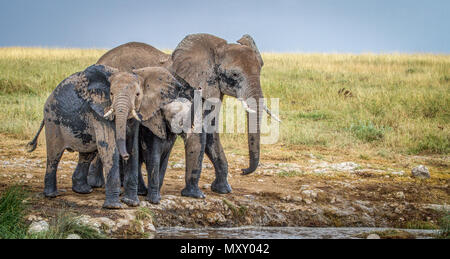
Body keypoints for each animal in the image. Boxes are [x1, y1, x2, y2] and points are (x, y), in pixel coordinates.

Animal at [26, 64, 192, 209]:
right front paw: (114, 206)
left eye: (138, 94)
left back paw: (83, 191)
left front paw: (131, 203)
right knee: (54, 155)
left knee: (86, 154)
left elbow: (133, 147)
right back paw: (52, 195)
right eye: (111, 94)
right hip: (52, 118)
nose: (124, 156)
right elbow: (109, 145)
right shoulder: (100, 110)